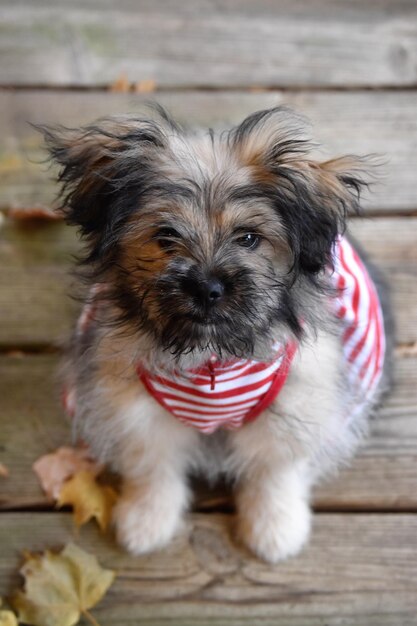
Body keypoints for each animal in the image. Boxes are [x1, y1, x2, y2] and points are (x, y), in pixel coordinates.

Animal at [41, 106, 390, 560]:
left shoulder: (294, 407)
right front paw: (147, 519)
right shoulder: (137, 410)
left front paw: (275, 527)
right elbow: (153, 468)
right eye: (165, 236)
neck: (211, 357)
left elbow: (274, 472)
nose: (206, 288)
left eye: (249, 238)